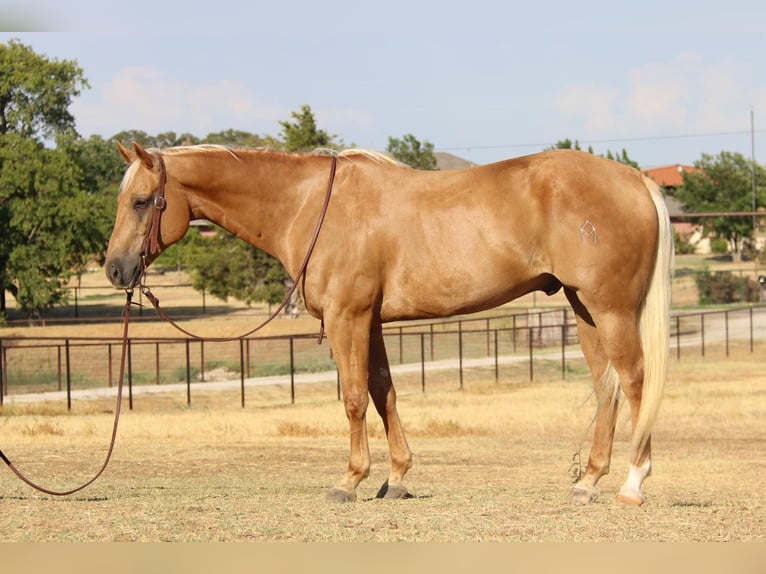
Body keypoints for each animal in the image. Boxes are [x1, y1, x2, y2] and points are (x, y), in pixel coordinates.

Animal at [103, 142, 672, 506]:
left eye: (141, 202)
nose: (115, 270)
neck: (310, 206)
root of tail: (635, 179)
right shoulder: (370, 322)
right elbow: (383, 392)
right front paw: (396, 478)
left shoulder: (346, 318)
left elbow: (354, 398)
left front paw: (351, 480)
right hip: (584, 310)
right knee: (607, 389)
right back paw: (588, 482)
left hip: (611, 310)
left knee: (635, 383)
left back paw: (632, 484)